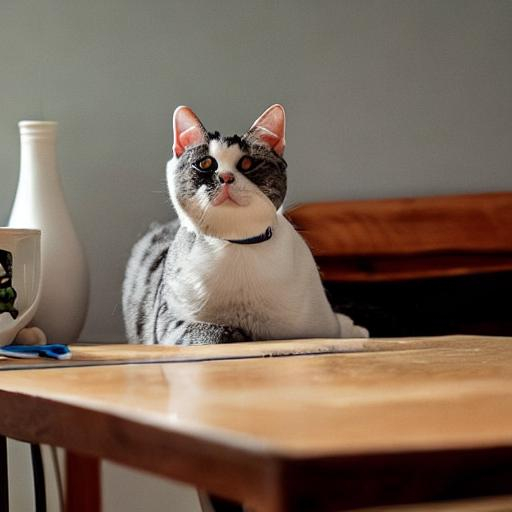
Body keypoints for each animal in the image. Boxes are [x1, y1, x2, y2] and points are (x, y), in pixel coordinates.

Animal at [123, 103, 368, 344]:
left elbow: (339, 327)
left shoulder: (322, 324)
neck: (238, 246)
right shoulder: (168, 322)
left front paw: (356, 329)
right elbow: (205, 331)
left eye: (247, 163)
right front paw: (235, 333)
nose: (225, 177)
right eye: (205, 163)